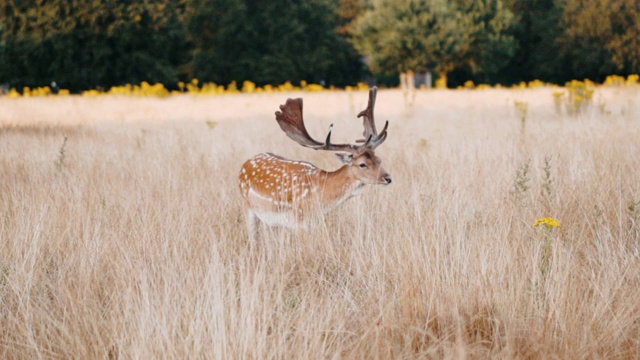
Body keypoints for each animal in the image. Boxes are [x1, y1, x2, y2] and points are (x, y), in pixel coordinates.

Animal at [239, 85, 390, 235]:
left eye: (379, 160)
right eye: (362, 164)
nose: (388, 178)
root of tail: (245, 163)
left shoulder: (316, 223)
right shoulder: (299, 221)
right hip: (248, 207)